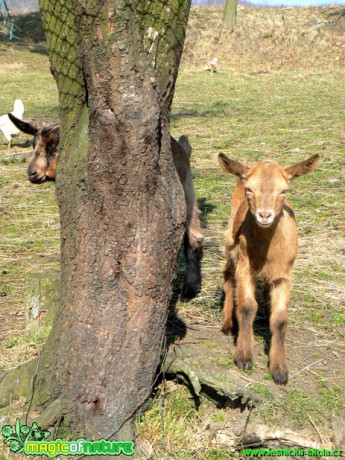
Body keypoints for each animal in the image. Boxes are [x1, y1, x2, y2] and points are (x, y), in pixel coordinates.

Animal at [8, 112, 202, 298]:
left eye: (54, 146)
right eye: (34, 144)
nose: (32, 173)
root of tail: (182, 148)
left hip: (186, 193)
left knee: (193, 236)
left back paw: (189, 288)